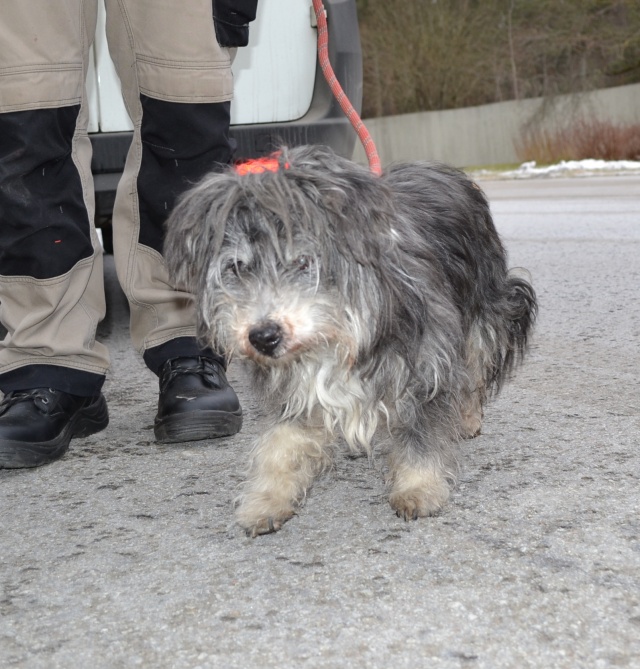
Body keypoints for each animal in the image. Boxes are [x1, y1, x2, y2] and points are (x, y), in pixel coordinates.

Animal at [164, 145, 537, 537]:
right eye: (237, 267)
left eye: (303, 261)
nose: (263, 337)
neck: (336, 335)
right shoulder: (297, 389)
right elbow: (281, 443)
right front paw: (266, 499)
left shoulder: (425, 362)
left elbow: (421, 430)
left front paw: (419, 485)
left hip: (486, 302)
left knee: (476, 363)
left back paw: (467, 417)